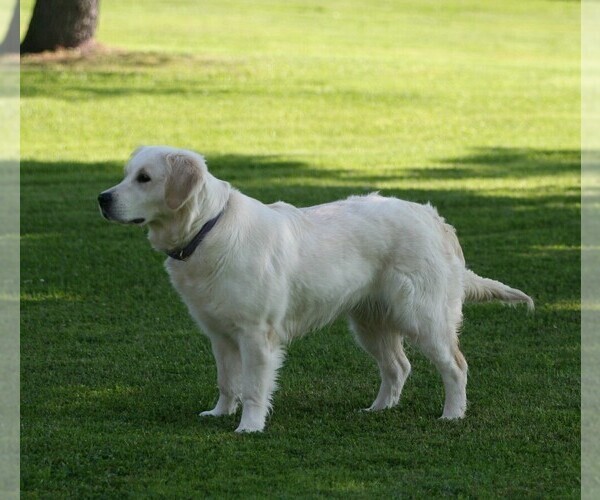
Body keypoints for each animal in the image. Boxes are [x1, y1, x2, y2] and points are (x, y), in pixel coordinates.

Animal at [99, 146, 536, 434]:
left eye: (144, 178)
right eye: (125, 174)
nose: (102, 199)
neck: (208, 229)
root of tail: (434, 218)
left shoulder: (257, 335)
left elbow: (254, 387)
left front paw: (249, 427)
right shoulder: (220, 334)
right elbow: (227, 381)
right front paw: (220, 414)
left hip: (423, 317)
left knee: (455, 366)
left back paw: (452, 415)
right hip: (370, 323)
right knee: (398, 366)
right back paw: (377, 410)